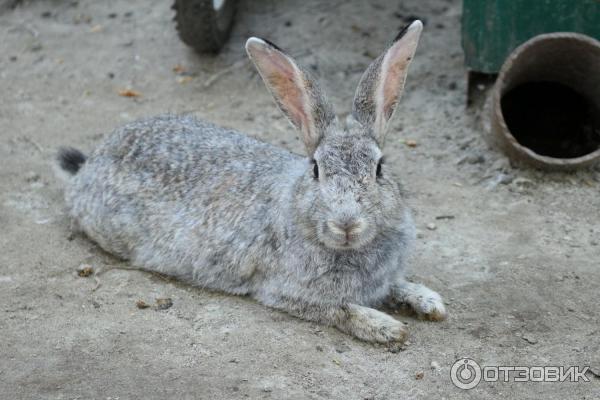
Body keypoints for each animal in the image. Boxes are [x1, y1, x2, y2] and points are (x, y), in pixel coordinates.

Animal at [58, 20, 446, 342]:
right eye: (316, 170)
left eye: (379, 168)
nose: (347, 224)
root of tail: (90, 164)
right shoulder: (285, 292)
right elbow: (341, 310)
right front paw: (387, 327)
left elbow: (398, 285)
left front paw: (430, 302)